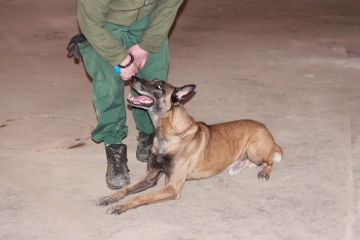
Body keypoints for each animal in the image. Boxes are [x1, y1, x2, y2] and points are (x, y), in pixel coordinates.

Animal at [97, 76, 282, 215]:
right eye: (153, 81)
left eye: (158, 86)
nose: (133, 77)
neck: (168, 136)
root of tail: (266, 130)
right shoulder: (151, 176)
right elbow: (126, 189)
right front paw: (111, 198)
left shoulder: (172, 187)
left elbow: (139, 197)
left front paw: (121, 206)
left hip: (254, 150)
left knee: (270, 160)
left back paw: (265, 172)